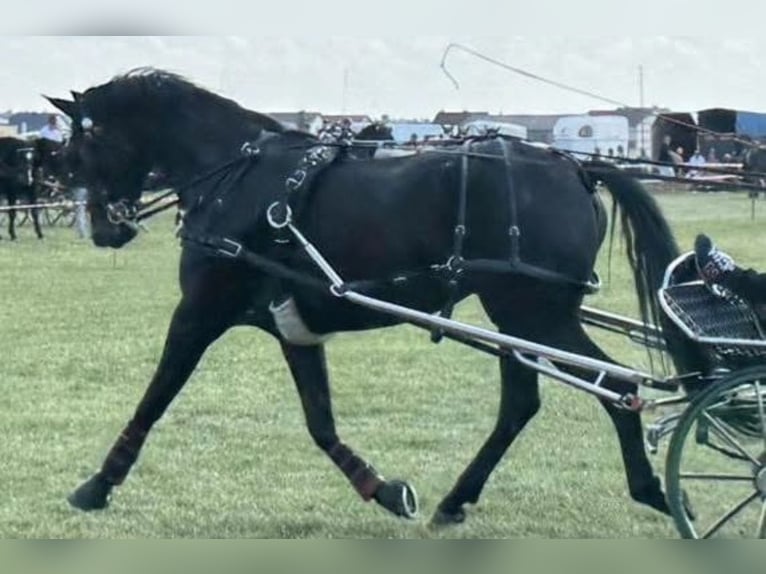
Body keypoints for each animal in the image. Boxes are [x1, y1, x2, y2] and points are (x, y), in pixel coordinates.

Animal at [47, 69, 698, 529]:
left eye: (80, 149)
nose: (103, 226)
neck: (234, 177)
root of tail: (577, 170)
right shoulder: (291, 325)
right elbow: (320, 422)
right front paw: (382, 489)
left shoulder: (201, 312)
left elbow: (154, 398)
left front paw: (96, 485)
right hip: (519, 317)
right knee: (524, 402)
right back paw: (457, 500)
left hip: (531, 311)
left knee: (617, 387)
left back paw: (654, 492)